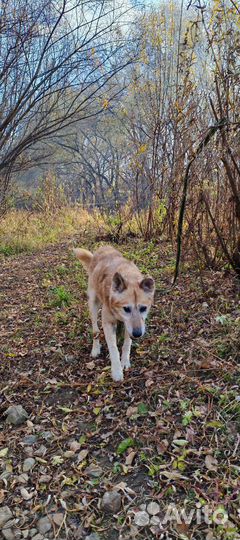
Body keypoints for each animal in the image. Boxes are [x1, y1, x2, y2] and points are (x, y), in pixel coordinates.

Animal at [73, 245, 156, 380]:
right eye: (126, 309)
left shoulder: (130, 326)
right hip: (93, 304)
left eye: (143, 308)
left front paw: (125, 361)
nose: (138, 334)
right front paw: (116, 371)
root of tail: (101, 249)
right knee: (95, 330)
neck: (128, 276)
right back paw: (95, 348)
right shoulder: (108, 323)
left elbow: (127, 344)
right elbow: (113, 348)